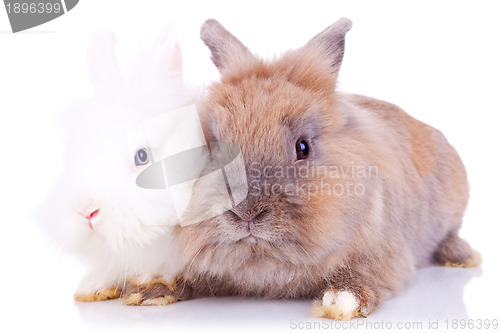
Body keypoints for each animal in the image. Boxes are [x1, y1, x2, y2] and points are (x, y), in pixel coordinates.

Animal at [168, 17, 480, 320]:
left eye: (303, 147)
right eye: (212, 147)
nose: (246, 213)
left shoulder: (388, 255)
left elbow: (368, 276)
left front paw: (342, 300)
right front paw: (160, 290)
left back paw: (463, 256)